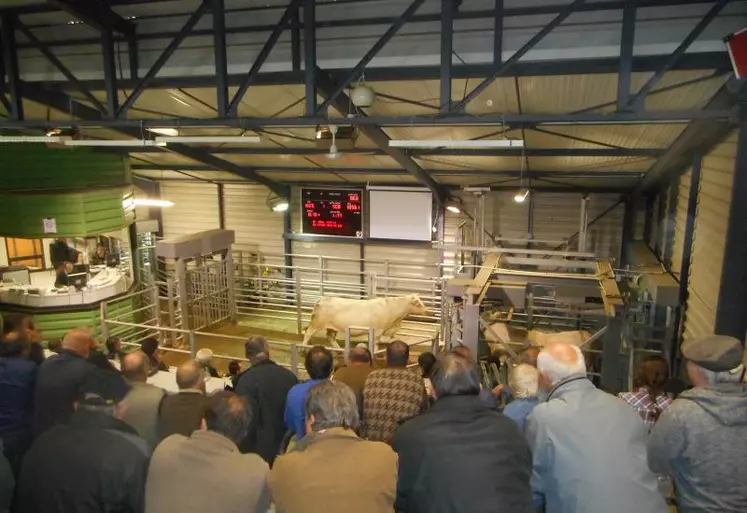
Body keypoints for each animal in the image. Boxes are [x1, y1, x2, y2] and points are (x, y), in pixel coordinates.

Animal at [302, 292, 430, 348]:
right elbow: (375, 344)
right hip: (318, 323)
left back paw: (339, 349)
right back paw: (303, 348)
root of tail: (322, 299)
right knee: (308, 333)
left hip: (332, 327)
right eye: (418, 303)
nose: (427, 311)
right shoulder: (378, 330)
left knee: (330, 338)